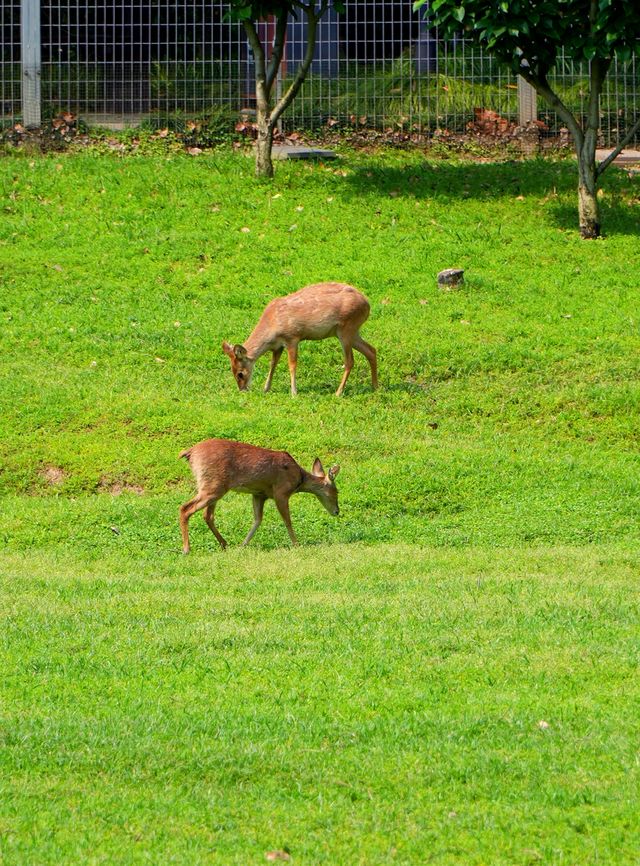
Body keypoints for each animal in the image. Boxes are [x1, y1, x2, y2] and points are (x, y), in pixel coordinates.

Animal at [179, 436, 340, 552]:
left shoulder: (259, 494)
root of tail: (190, 453)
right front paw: (296, 544)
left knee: (207, 515)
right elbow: (287, 521)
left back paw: (224, 544)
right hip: (213, 486)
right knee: (185, 508)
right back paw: (187, 549)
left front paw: (242, 545)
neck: (299, 479)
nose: (337, 511)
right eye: (336, 491)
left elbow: (257, 520)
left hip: (214, 487)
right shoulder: (280, 492)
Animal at [222, 280, 378, 394]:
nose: (242, 389)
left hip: (346, 329)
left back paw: (338, 392)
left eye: (240, 373)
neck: (272, 325)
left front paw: (294, 392)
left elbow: (292, 365)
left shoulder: (292, 337)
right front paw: (266, 389)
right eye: (232, 370)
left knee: (350, 361)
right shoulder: (278, 346)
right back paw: (375, 386)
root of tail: (367, 304)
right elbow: (273, 364)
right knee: (371, 350)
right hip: (351, 332)